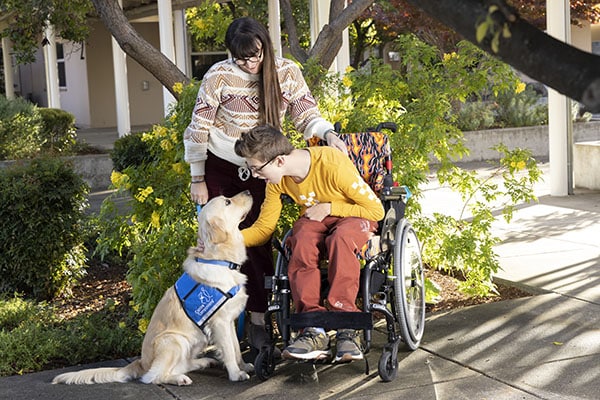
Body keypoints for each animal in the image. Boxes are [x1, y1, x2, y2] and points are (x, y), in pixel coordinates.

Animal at [52, 192, 255, 386]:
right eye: (227, 201)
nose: (248, 191)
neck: (219, 260)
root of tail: (141, 362)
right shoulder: (220, 322)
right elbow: (229, 351)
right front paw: (236, 374)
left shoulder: (229, 321)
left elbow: (236, 348)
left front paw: (244, 366)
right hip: (174, 340)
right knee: (153, 377)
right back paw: (179, 379)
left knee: (182, 365)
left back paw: (203, 362)